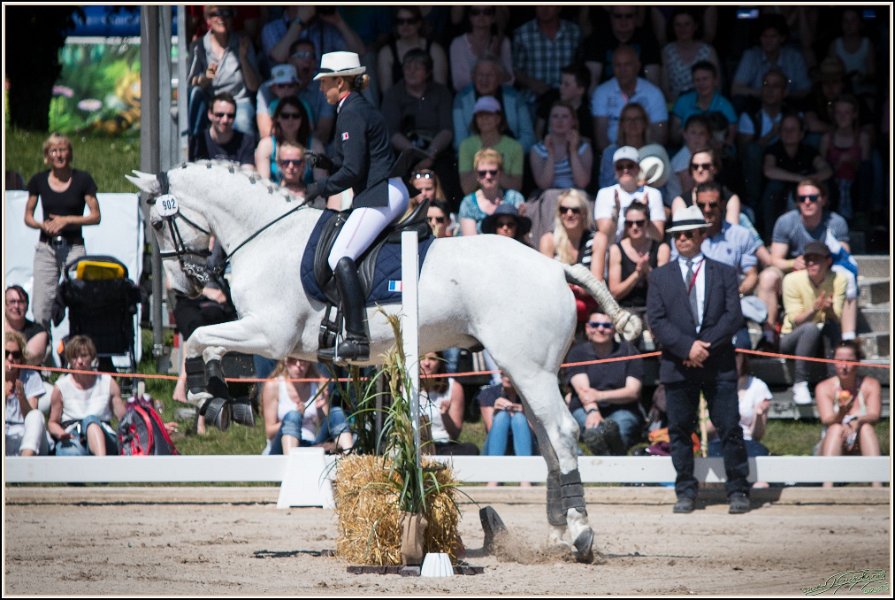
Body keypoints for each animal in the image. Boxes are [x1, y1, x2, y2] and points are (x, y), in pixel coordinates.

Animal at [127, 161, 642, 563]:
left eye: (156, 223)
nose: (186, 286)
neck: (267, 237)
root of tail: (556, 266)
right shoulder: (258, 333)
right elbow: (207, 347)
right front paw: (220, 402)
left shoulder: (269, 334)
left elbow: (198, 338)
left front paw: (208, 398)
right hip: (526, 370)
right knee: (548, 441)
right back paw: (557, 535)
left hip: (531, 371)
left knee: (562, 433)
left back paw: (581, 535)